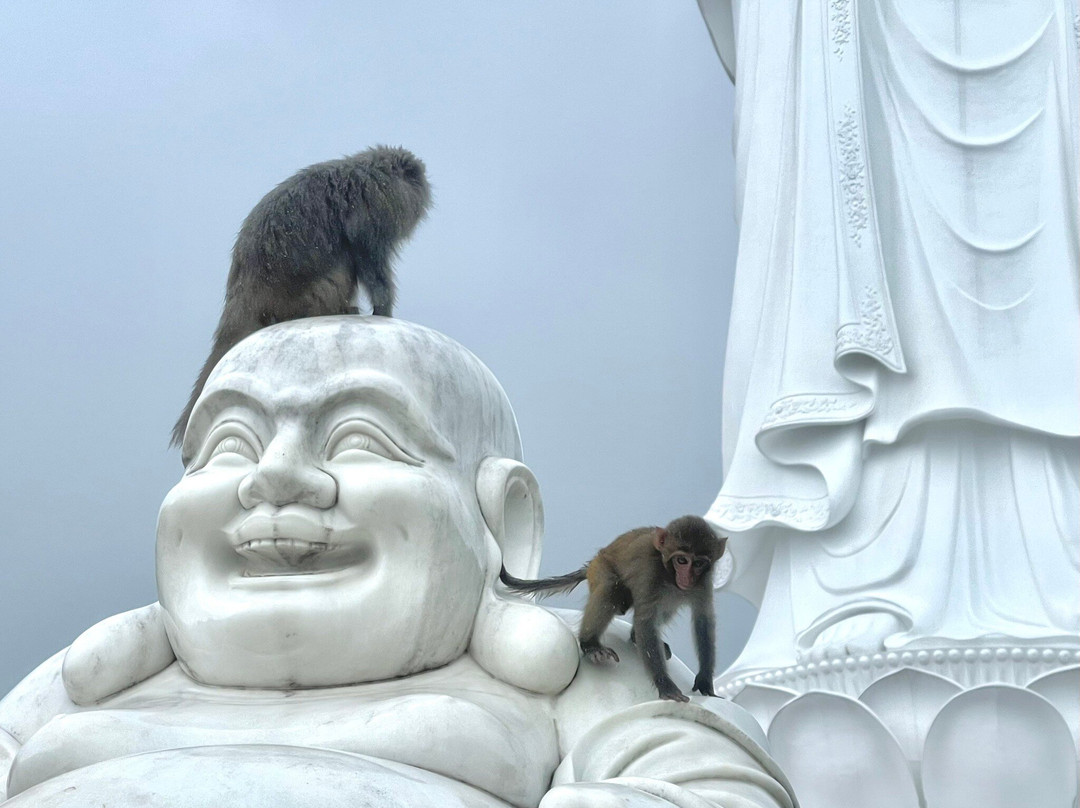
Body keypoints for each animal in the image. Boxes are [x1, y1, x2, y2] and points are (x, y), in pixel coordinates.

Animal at [170, 145, 432, 447]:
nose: (423, 191)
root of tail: (243, 296)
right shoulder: (376, 205)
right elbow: (367, 254)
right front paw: (383, 308)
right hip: (312, 295)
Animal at [499, 515, 727, 702]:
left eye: (698, 563)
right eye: (681, 560)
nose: (687, 578)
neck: (669, 574)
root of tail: (592, 562)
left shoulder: (703, 582)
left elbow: (704, 620)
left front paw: (705, 680)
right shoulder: (650, 572)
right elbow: (646, 621)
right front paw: (665, 685)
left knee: (667, 603)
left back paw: (634, 636)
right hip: (600, 568)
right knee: (611, 589)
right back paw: (591, 644)